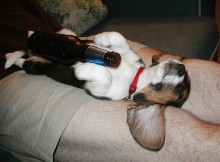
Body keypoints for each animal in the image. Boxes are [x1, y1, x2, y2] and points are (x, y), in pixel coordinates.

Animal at [4, 30, 190, 151]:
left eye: (181, 92)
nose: (181, 68)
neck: (134, 78)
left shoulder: (99, 90)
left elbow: (104, 77)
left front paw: (84, 69)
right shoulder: (124, 53)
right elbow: (118, 38)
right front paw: (99, 39)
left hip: (36, 66)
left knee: (23, 61)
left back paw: (10, 57)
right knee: (61, 34)